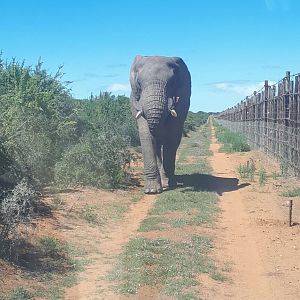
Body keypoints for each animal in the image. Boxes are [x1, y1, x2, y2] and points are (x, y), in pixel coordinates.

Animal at [129, 54, 191, 193]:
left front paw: (169, 184)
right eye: (139, 83)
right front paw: (152, 191)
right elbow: (146, 135)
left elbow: (171, 137)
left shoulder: (183, 100)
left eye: (172, 83)